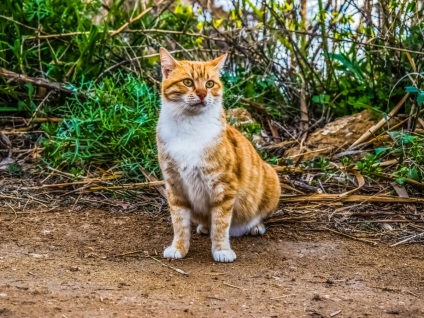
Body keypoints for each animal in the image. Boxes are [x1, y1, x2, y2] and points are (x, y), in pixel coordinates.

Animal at [157, 46, 282, 260]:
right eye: (188, 82)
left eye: (209, 84)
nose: (201, 94)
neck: (189, 128)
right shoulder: (175, 185)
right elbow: (179, 223)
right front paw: (179, 247)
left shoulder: (223, 186)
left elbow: (221, 223)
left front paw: (222, 250)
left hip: (272, 177)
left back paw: (254, 226)